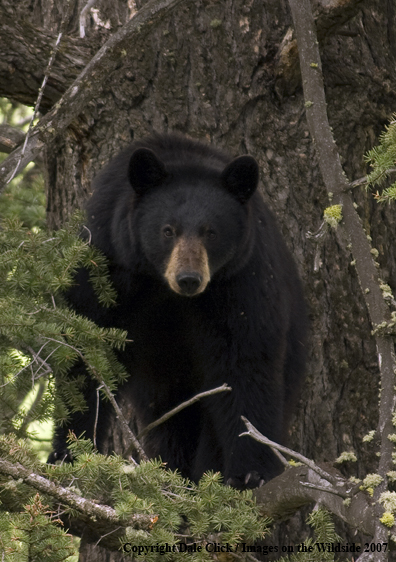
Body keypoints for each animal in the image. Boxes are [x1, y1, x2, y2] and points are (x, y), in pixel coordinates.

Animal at [51, 132, 308, 486]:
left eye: (211, 231)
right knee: (170, 420)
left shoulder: (241, 281)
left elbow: (245, 364)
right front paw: (70, 454)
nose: (189, 278)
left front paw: (251, 472)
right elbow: (85, 354)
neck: (164, 290)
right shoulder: (107, 263)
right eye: (168, 230)